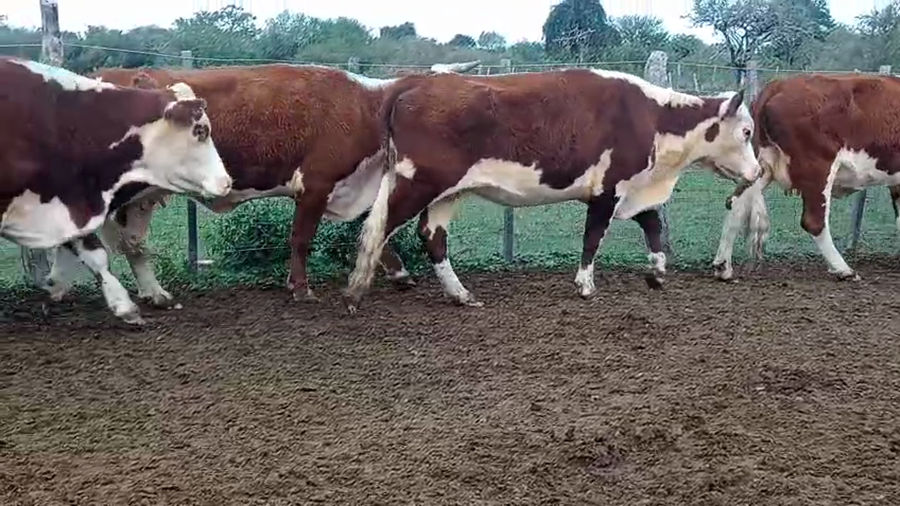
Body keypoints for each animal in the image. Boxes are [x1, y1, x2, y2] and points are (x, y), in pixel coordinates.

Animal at [39, 61, 481, 313]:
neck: (366, 107)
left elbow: (369, 228)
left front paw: (397, 271)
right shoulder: (316, 183)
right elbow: (302, 238)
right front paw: (300, 288)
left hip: (140, 197)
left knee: (128, 242)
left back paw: (146, 294)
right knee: (82, 237)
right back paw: (68, 288)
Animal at [341, 68, 761, 312]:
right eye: (746, 132)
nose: (757, 171)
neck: (652, 116)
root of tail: (415, 83)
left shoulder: (630, 189)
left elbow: (653, 225)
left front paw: (657, 273)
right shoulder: (608, 189)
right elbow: (593, 237)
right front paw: (585, 285)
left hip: (446, 192)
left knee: (430, 236)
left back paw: (461, 294)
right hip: (416, 182)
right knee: (376, 229)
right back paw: (357, 293)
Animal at [712, 73, 900, 282]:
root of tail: (778, 86)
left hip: (760, 167)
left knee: (735, 203)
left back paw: (723, 267)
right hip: (818, 168)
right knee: (813, 221)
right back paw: (844, 269)